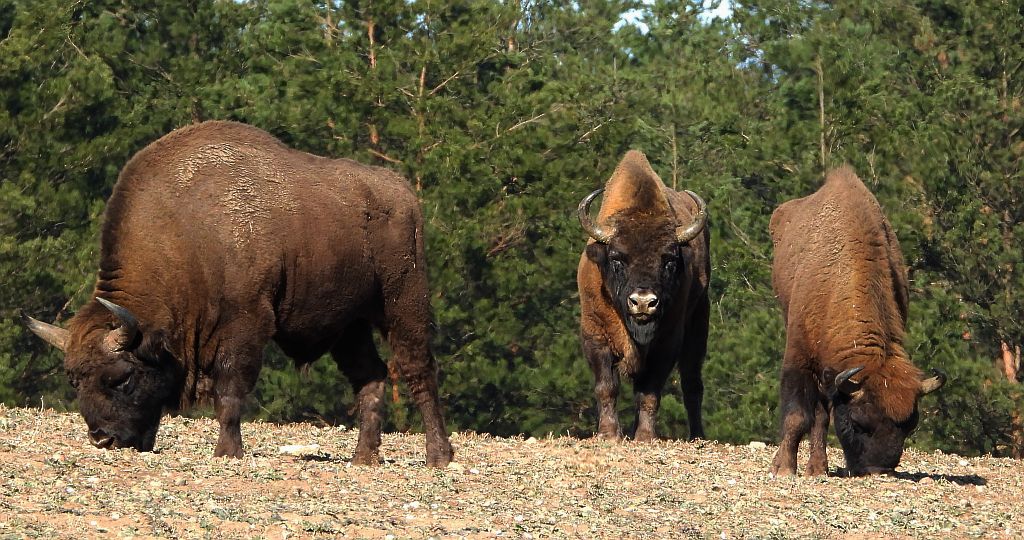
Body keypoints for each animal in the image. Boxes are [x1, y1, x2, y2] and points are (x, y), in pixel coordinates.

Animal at [24, 120, 454, 467]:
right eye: (73, 380)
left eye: (121, 378)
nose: (103, 438)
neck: (186, 240)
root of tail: (402, 192)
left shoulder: (246, 325)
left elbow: (229, 392)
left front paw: (227, 451)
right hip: (349, 325)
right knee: (371, 376)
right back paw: (364, 458)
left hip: (403, 303)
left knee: (418, 371)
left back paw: (438, 456)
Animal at [577, 151, 710, 441]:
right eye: (617, 258)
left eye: (669, 260)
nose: (643, 302)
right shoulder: (595, 335)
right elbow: (606, 386)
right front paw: (609, 434)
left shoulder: (667, 343)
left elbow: (649, 392)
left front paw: (646, 436)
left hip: (698, 324)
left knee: (692, 384)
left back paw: (697, 435)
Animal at [768, 166, 944, 476]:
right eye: (858, 422)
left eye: (910, 426)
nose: (879, 469)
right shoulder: (799, 356)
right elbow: (797, 416)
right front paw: (784, 468)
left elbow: (820, 416)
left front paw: (815, 468)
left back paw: (818, 467)